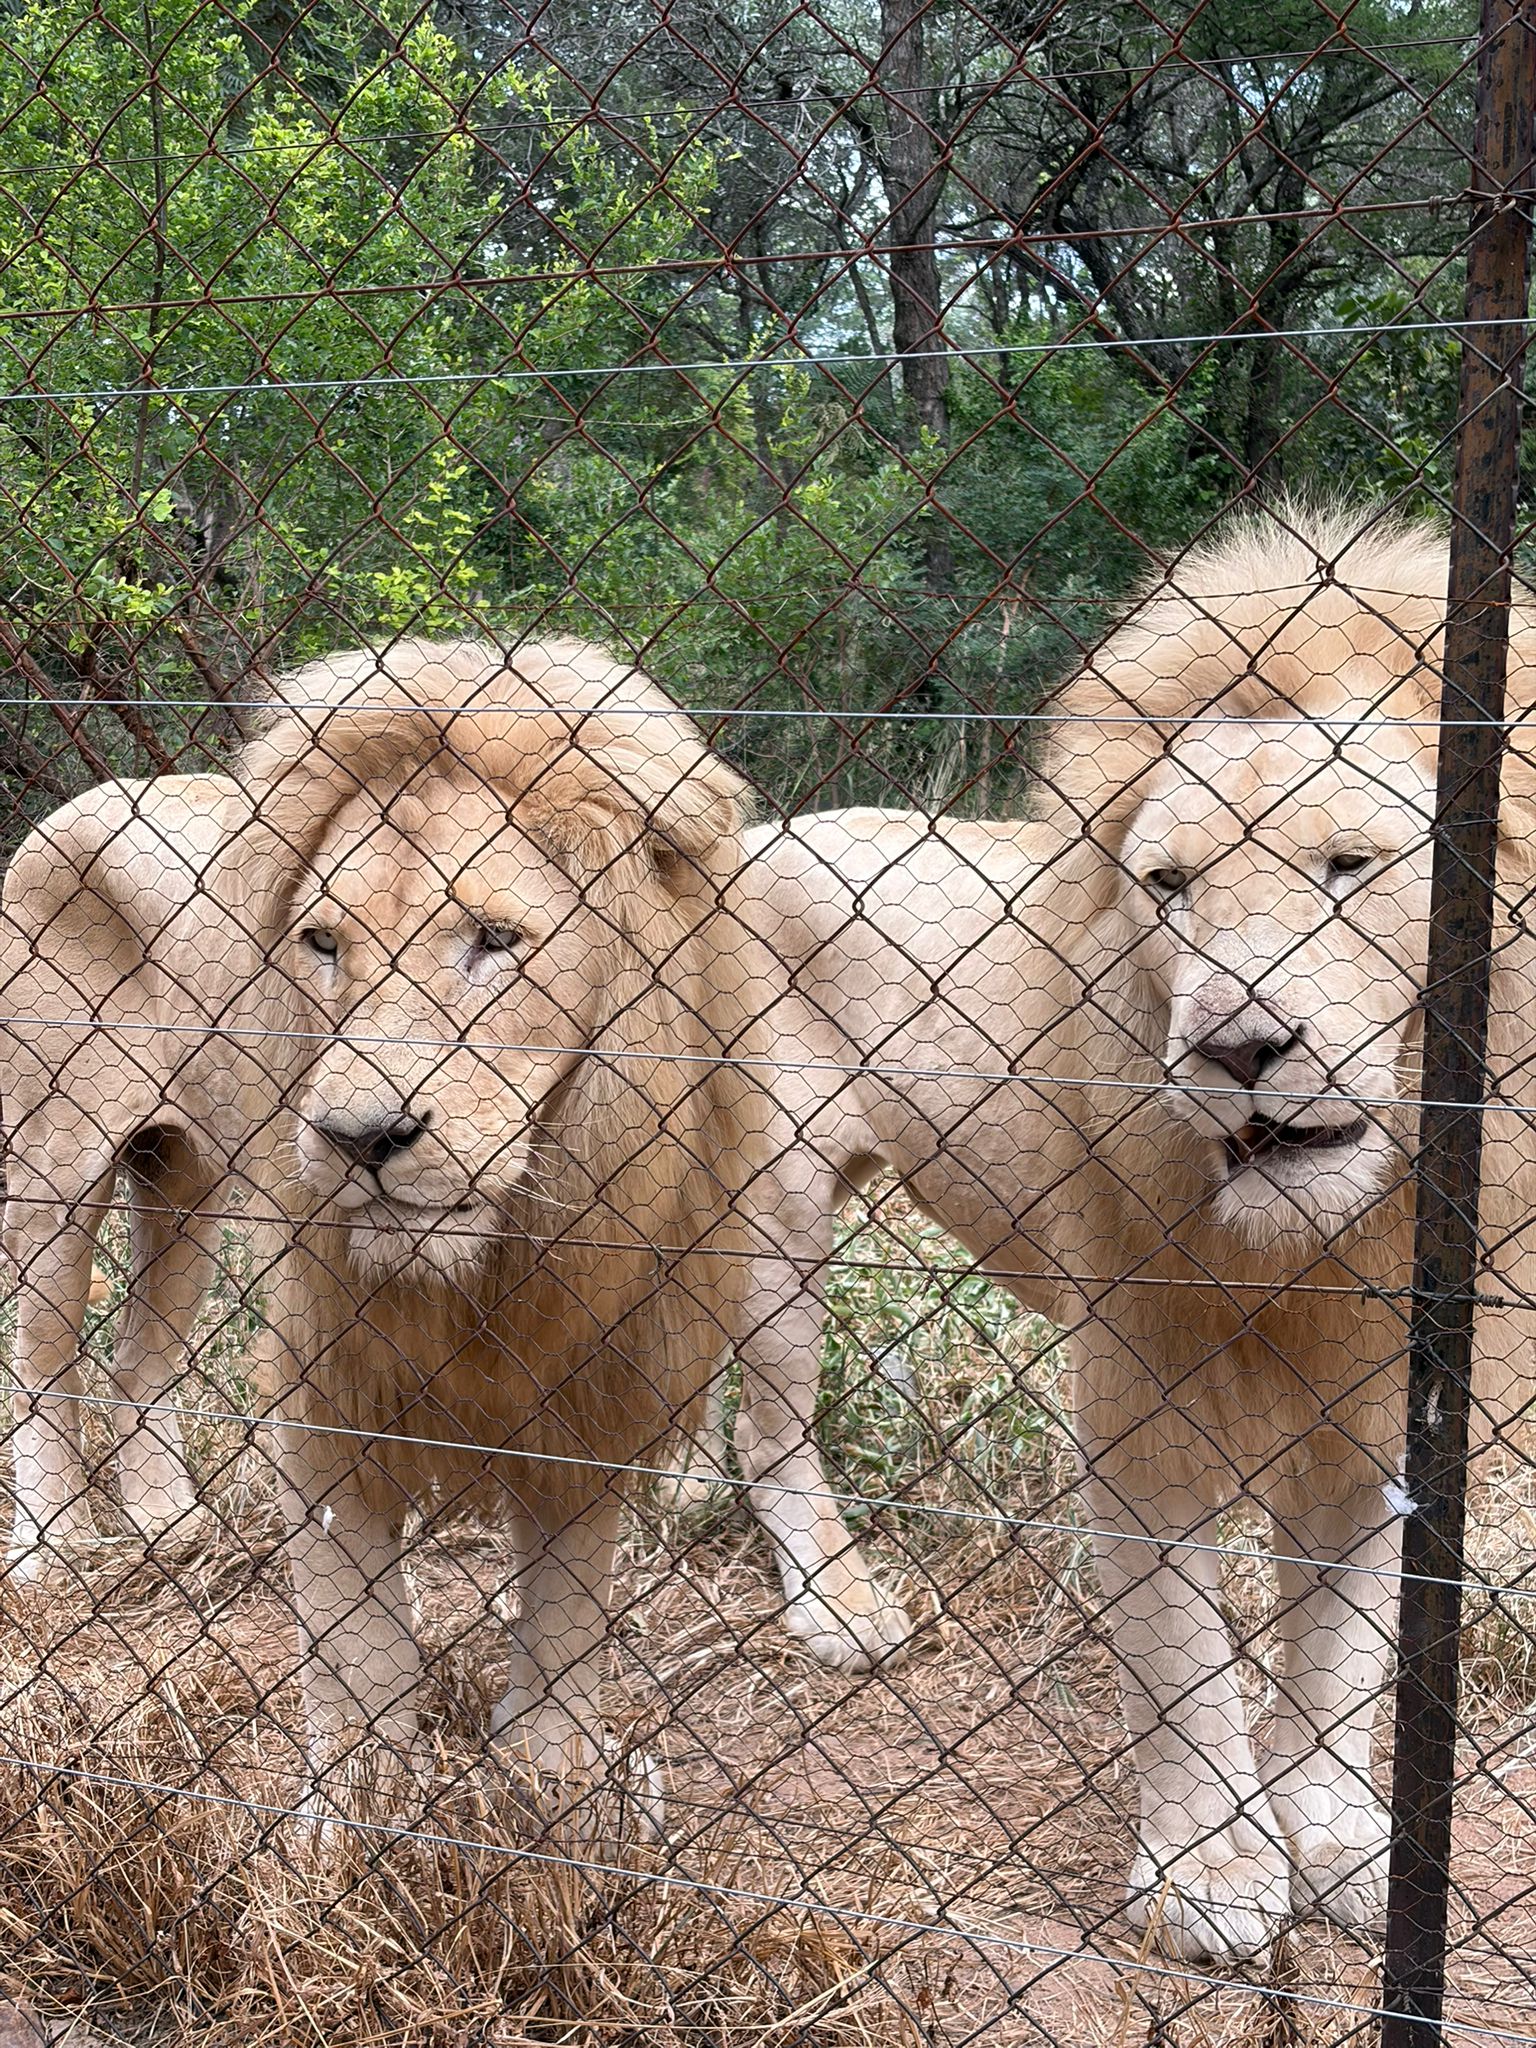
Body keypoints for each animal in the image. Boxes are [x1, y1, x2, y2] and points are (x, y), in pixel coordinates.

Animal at [704, 506, 1536, 1961]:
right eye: (1170, 885)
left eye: (1351, 865)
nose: (1238, 1048)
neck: (1336, 1237)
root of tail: (767, 833)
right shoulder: (1138, 1387)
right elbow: (1184, 1655)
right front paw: (1211, 1873)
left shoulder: (1383, 1410)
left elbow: (1343, 1648)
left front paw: (1334, 1840)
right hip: (778, 1211)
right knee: (768, 1427)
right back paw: (839, 1605)